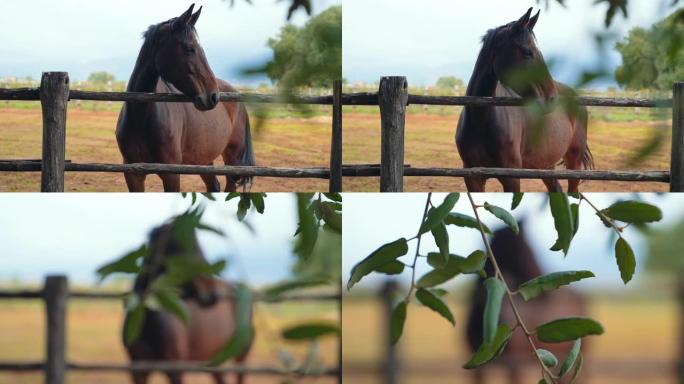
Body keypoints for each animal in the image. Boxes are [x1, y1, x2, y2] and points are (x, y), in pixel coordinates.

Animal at [116, 3, 255, 192]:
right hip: (203, 159)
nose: (213, 96)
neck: (140, 119)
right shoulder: (133, 174)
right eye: (189, 48)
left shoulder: (171, 174)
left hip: (232, 159)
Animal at [125, 220, 254, 382]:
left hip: (242, 355)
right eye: (182, 247)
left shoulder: (175, 369)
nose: (212, 293)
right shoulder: (138, 370)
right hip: (214, 359)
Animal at [454, 8, 592, 194]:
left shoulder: (511, 177)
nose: (552, 98)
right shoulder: (473, 177)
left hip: (574, 163)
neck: (480, 121)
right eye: (527, 52)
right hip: (545, 165)